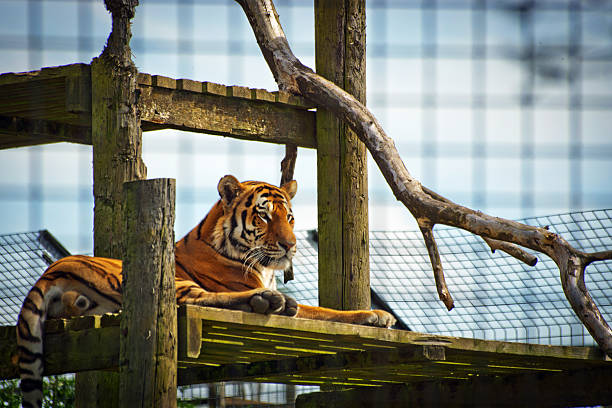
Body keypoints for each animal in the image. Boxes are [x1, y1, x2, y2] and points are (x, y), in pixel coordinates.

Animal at [16, 175, 396, 408]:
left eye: (289, 217)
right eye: (264, 216)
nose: (290, 246)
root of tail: (52, 271)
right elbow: (325, 312)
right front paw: (377, 315)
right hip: (168, 280)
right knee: (201, 301)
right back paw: (271, 302)